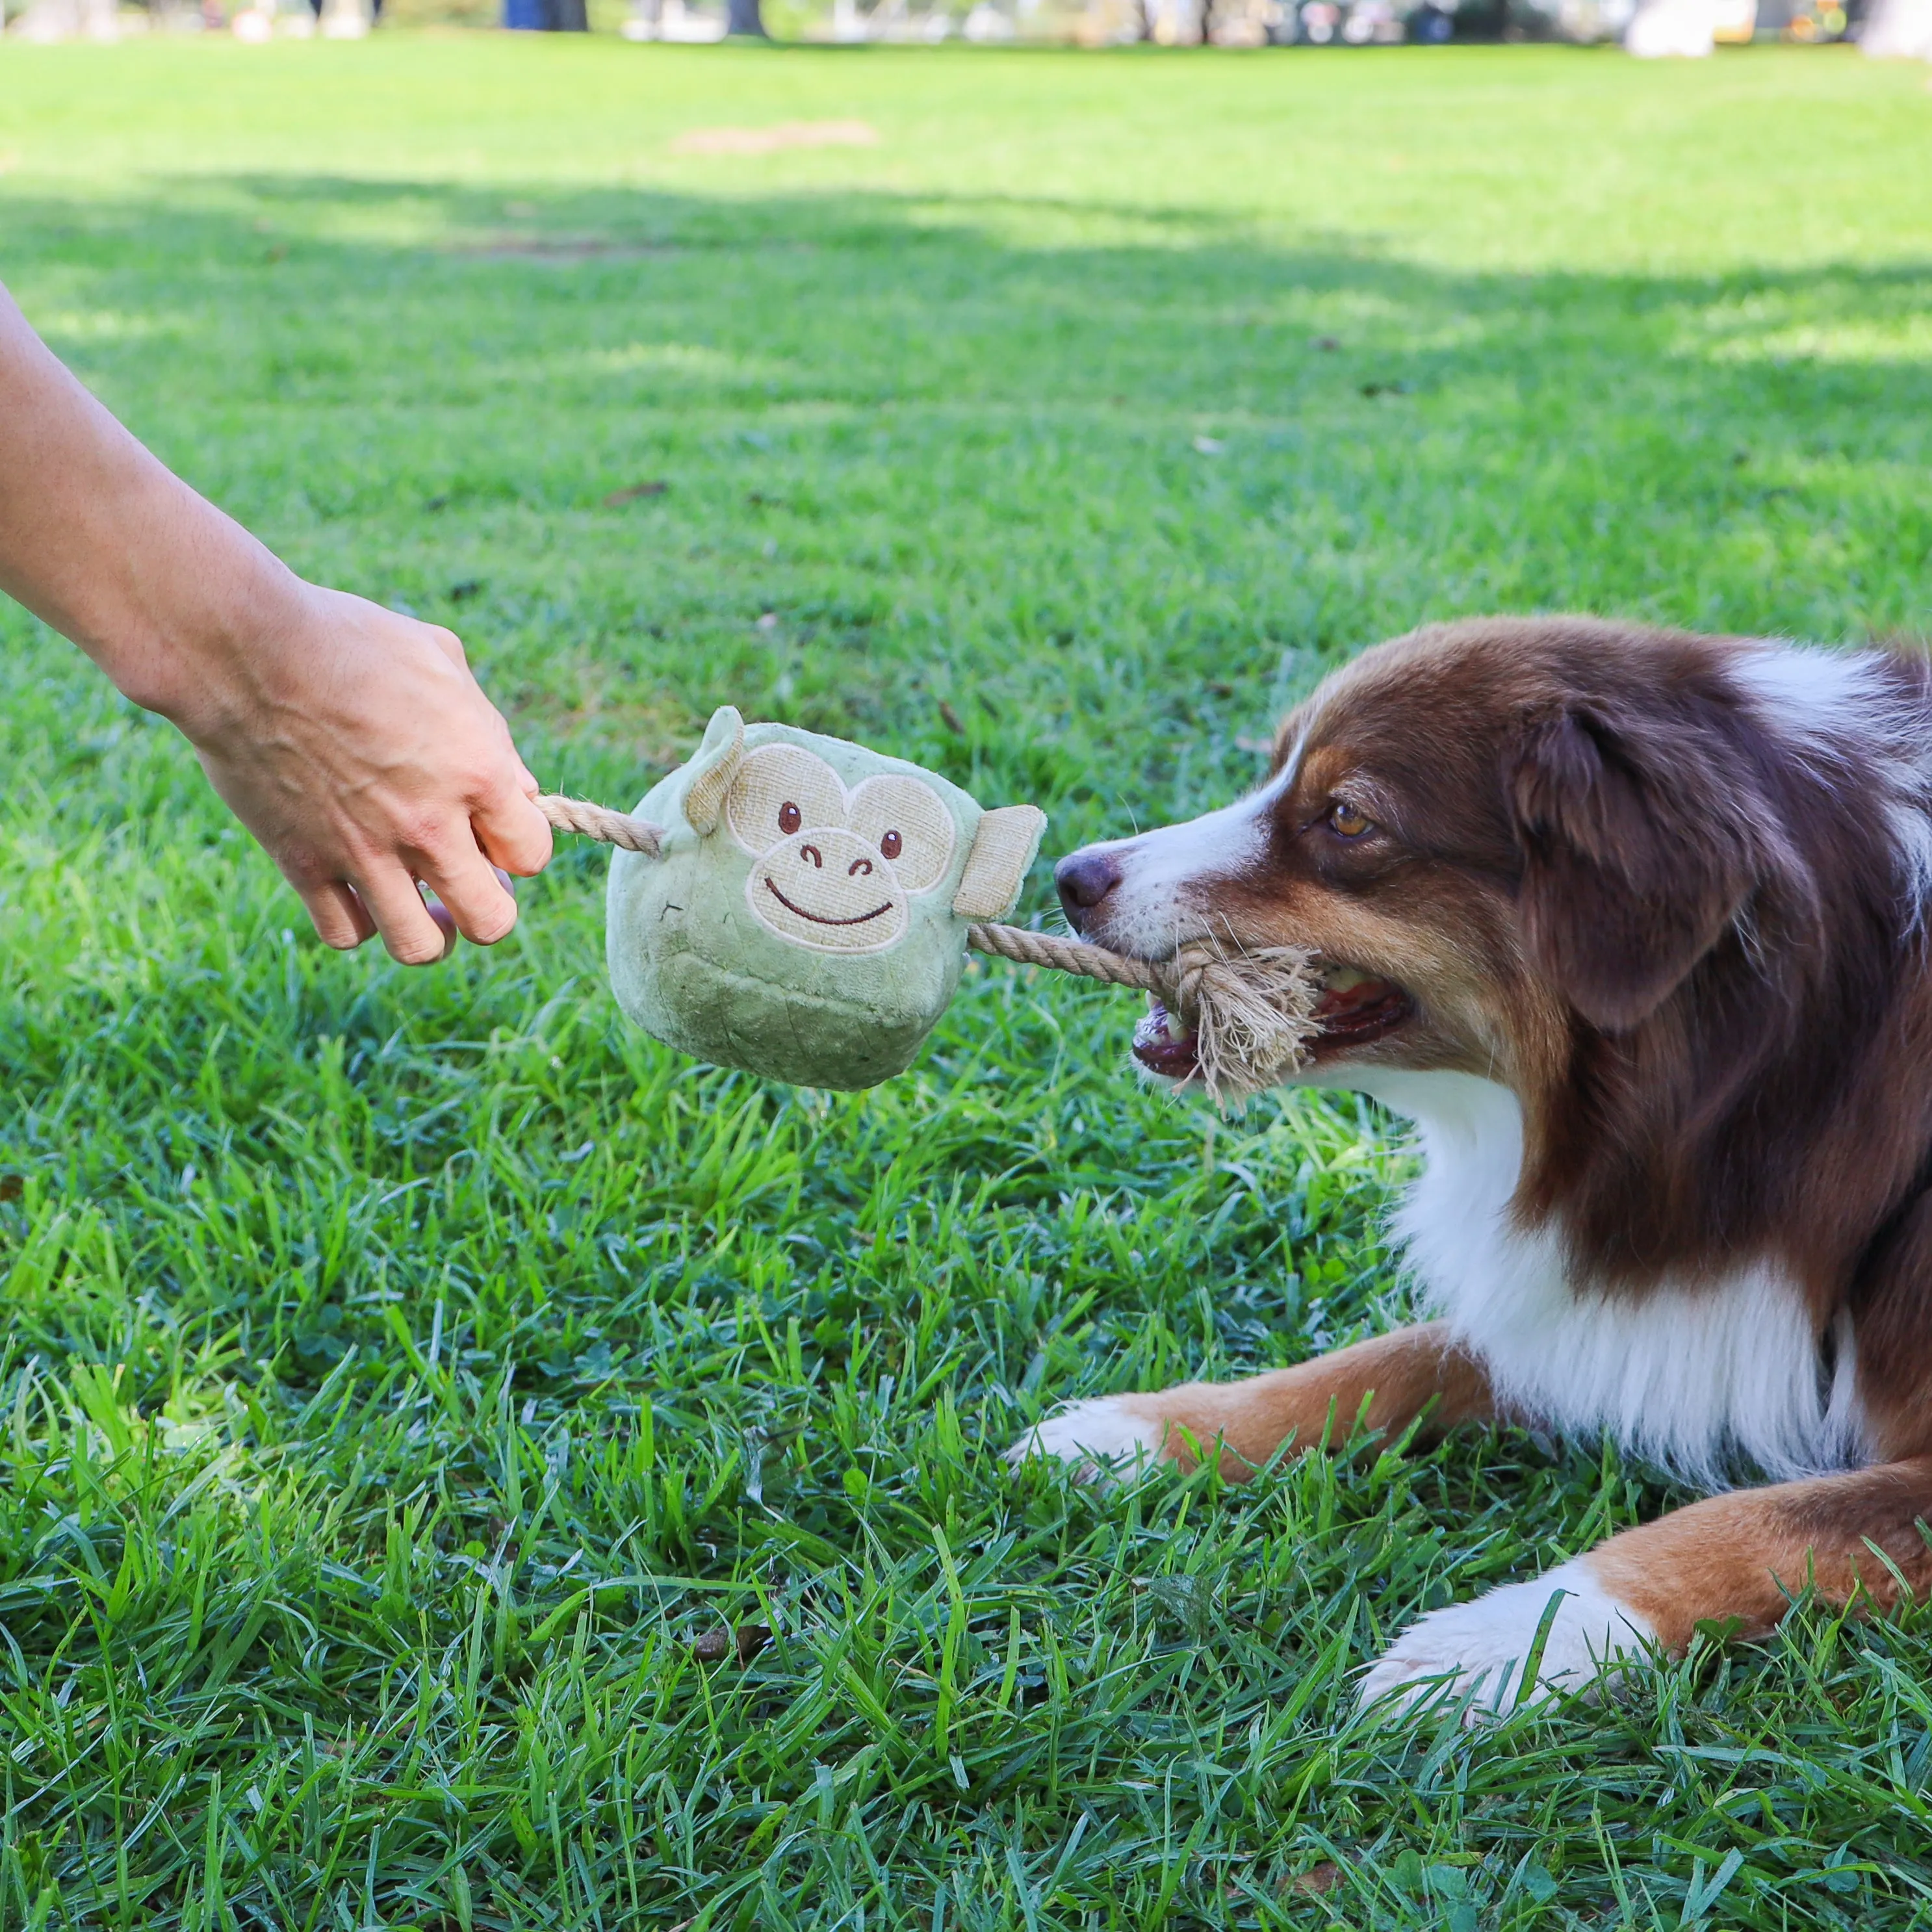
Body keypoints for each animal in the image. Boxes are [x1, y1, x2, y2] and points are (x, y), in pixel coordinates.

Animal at [1004, 618, 1932, 1723]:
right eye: (1272, 772)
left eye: (1346, 816)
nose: (1071, 873)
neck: (1793, 1055)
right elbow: (1378, 1361)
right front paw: (1132, 1434)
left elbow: (1753, 1518)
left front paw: (1495, 1646)